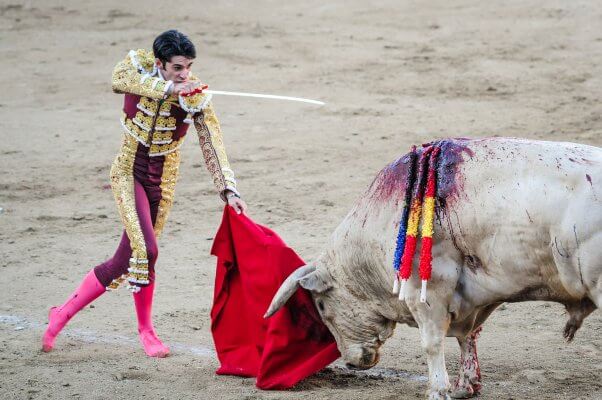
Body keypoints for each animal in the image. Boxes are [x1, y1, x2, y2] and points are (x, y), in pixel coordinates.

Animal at [264, 138, 596, 400]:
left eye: (322, 306)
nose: (349, 363)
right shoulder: (472, 298)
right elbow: (468, 336)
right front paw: (466, 386)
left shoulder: (425, 291)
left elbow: (432, 342)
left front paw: (439, 390)